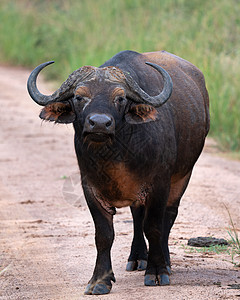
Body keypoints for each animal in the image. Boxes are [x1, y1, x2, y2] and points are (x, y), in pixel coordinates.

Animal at [27, 50, 209, 294]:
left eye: (120, 98)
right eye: (79, 97)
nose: (99, 123)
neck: (115, 156)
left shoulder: (159, 184)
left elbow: (154, 227)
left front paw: (156, 272)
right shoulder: (90, 187)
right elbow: (104, 234)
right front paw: (100, 280)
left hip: (183, 175)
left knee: (168, 217)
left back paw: (165, 261)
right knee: (137, 216)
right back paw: (137, 257)